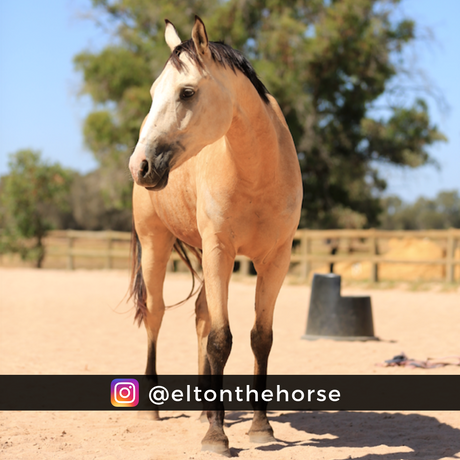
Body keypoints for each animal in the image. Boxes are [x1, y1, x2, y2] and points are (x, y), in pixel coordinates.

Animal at [127, 15, 304, 456]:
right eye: (154, 92)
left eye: (187, 91)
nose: (139, 165)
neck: (258, 173)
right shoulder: (220, 252)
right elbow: (221, 340)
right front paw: (216, 437)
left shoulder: (275, 260)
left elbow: (260, 338)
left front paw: (260, 427)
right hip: (157, 245)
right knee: (156, 314)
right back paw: (154, 409)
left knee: (201, 316)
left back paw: (207, 407)